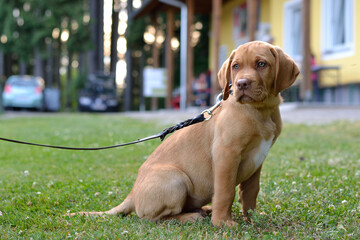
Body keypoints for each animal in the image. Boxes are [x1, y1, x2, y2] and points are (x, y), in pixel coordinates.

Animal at [69, 41, 298, 227]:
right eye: (236, 66)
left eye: (261, 64)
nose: (242, 84)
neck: (261, 110)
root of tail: (132, 194)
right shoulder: (226, 154)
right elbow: (226, 192)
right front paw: (223, 222)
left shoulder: (257, 160)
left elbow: (250, 192)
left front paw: (251, 219)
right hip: (176, 179)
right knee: (152, 218)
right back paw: (192, 216)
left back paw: (204, 209)